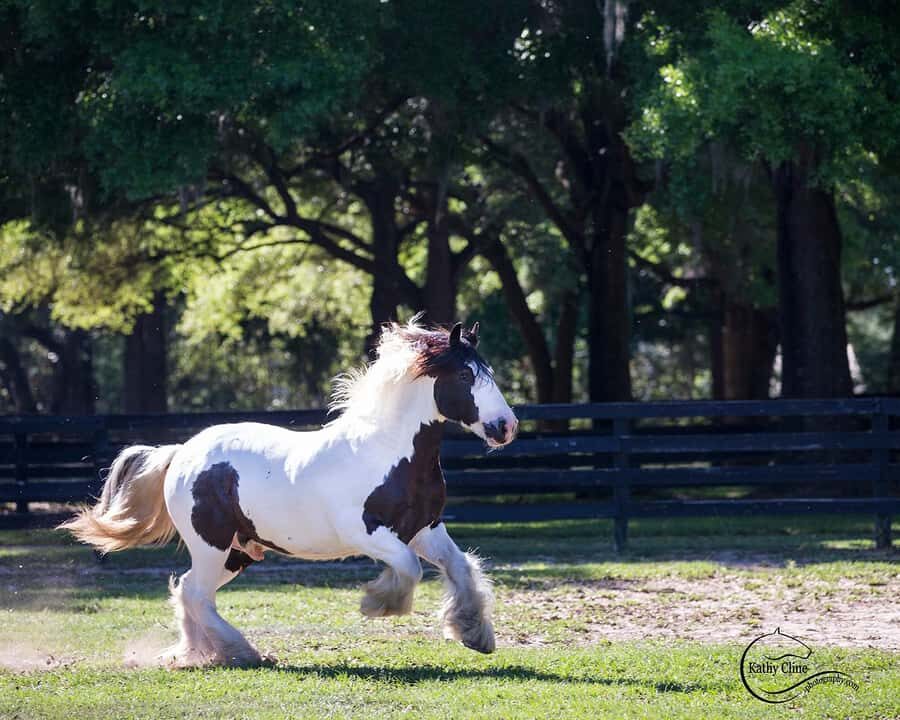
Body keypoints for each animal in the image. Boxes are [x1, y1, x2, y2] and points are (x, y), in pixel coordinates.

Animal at [60, 319, 518, 667]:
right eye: (465, 376)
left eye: (491, 374)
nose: (506, 427)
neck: (388, 451)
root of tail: (181, 453)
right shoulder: (367, 533)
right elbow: (409, 568)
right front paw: (376, 603)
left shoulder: (425, 529)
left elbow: (460, 568)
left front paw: (474, 633)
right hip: (212, 546)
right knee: (194, 592)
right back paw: (242, 653)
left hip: (237, 552)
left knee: (189, 590)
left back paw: (201, 654)